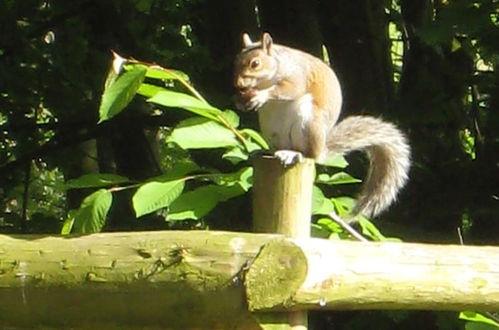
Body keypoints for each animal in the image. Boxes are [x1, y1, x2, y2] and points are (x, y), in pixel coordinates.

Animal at [234, 32, 410, 219]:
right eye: (236, 60)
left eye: (255, 63)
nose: (238, 84)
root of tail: (321, 148)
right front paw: (240, 100)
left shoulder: (297, 75)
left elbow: (291, 89)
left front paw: (261, 95)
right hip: (269, 127)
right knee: (278, 146)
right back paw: (267, 151)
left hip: (307, 123)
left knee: (309, 154)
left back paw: (294, 154)